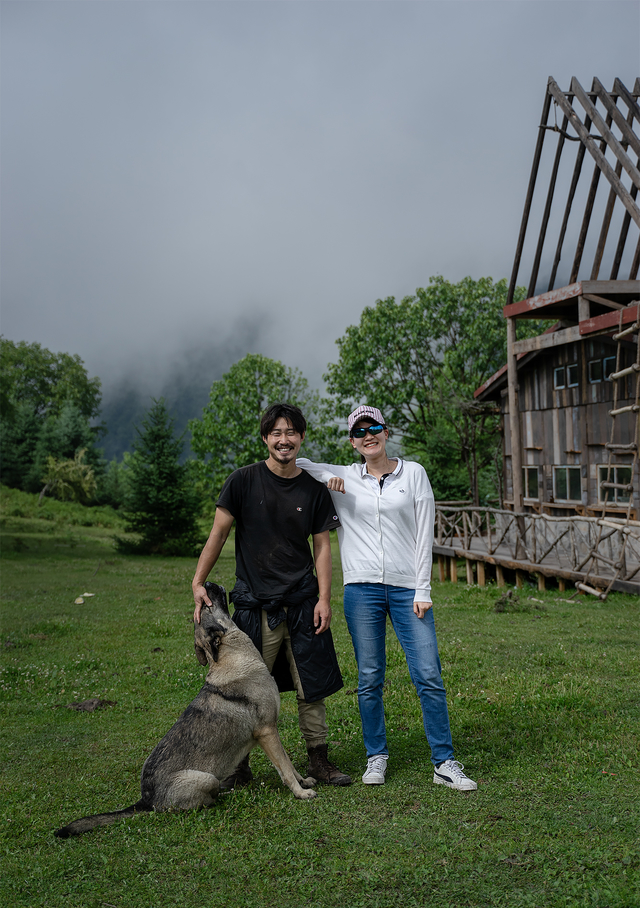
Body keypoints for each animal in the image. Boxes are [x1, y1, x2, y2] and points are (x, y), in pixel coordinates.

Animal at [56, 580, 316, 836]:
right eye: (206, 605)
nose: (206, 583)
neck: (231, 657)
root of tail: (145, 801)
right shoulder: (267, 731)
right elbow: (285, 768)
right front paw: (300, 793)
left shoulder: (270, 732)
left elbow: (289, 764)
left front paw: (304, 782)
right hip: (206, 779)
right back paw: (219, 798)